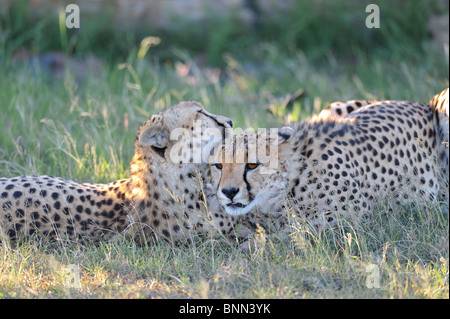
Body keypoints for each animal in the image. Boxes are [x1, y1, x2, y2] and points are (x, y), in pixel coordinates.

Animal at [212, 89, 450, 231]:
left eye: (252, 165)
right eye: (219, 166)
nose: (229, 191)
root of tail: (421, 103)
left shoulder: (353, 214)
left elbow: (300, 229)